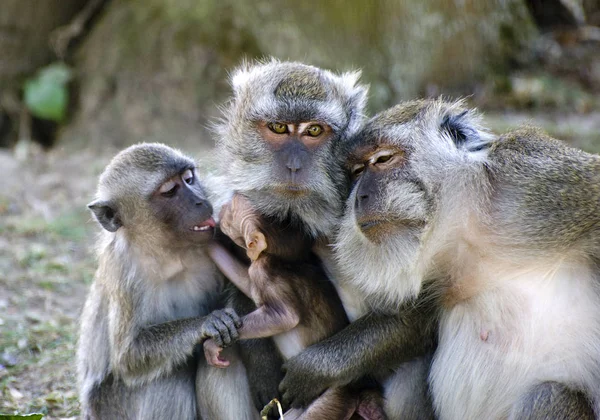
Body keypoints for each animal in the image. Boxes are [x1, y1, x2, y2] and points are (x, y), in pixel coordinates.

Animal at [77, 144, 255, 420]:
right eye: (170, 191)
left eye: (189, 179)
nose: (201, 201)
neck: (169, 252)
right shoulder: (123, 270)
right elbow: (128, 357)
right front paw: (205, 324)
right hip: (108, 408)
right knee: (169, 376)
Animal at [205, 194, 384, 420]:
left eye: (232, 211)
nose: (224, 206)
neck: (279, 259)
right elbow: (245, 283)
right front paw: (209, 244)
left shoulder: (262, 270)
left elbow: (284, 317)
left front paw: (211, 345)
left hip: (332, 396)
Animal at [336, 97, 596, 416]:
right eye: (357, 171)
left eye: (383, 159)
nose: (359, 198)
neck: (468, 228)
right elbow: (410, 325)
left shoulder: (538, 179)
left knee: (551, 394)